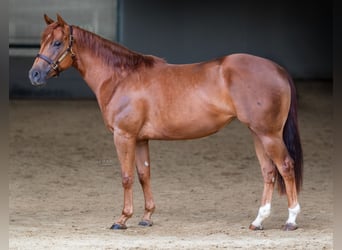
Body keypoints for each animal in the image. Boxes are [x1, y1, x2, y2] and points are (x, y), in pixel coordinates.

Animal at [28, 14, 302, 231]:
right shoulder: (141, 139)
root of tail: (278, 69)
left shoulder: (123, 136)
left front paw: (122, 219)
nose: (34, 74)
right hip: (258, 134)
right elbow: (143, 174)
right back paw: (258, 221)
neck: (121, 78)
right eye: (42, 41)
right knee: (269, 172)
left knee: (286, 167)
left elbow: (126, 176)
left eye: (57, 42)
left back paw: (291, 220)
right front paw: (147, 217)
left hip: (269, 135)